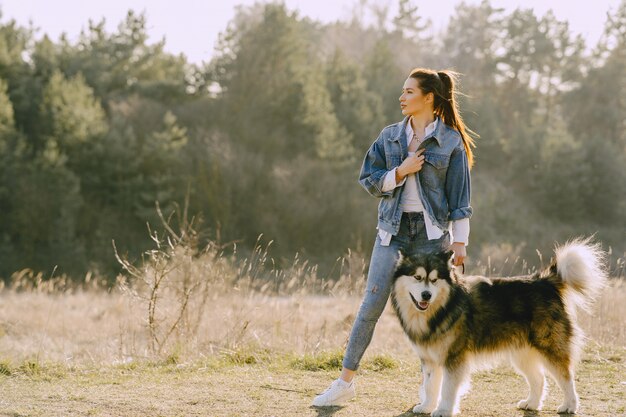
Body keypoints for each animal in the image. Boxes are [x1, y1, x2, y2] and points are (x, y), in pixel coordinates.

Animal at [390, 239, 604, 414]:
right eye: (417, 277)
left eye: (434, 280)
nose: (426, 295)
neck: (440, 309)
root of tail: (543, 281)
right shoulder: (430, 358)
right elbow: (430, 385)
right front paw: (426, 406)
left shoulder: (454, 358)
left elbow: (448, 388)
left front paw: (443, 410)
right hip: (522, 353)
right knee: (539, 378)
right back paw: (532, 403)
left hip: (549, 346)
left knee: (566, 377)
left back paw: (569, 405)